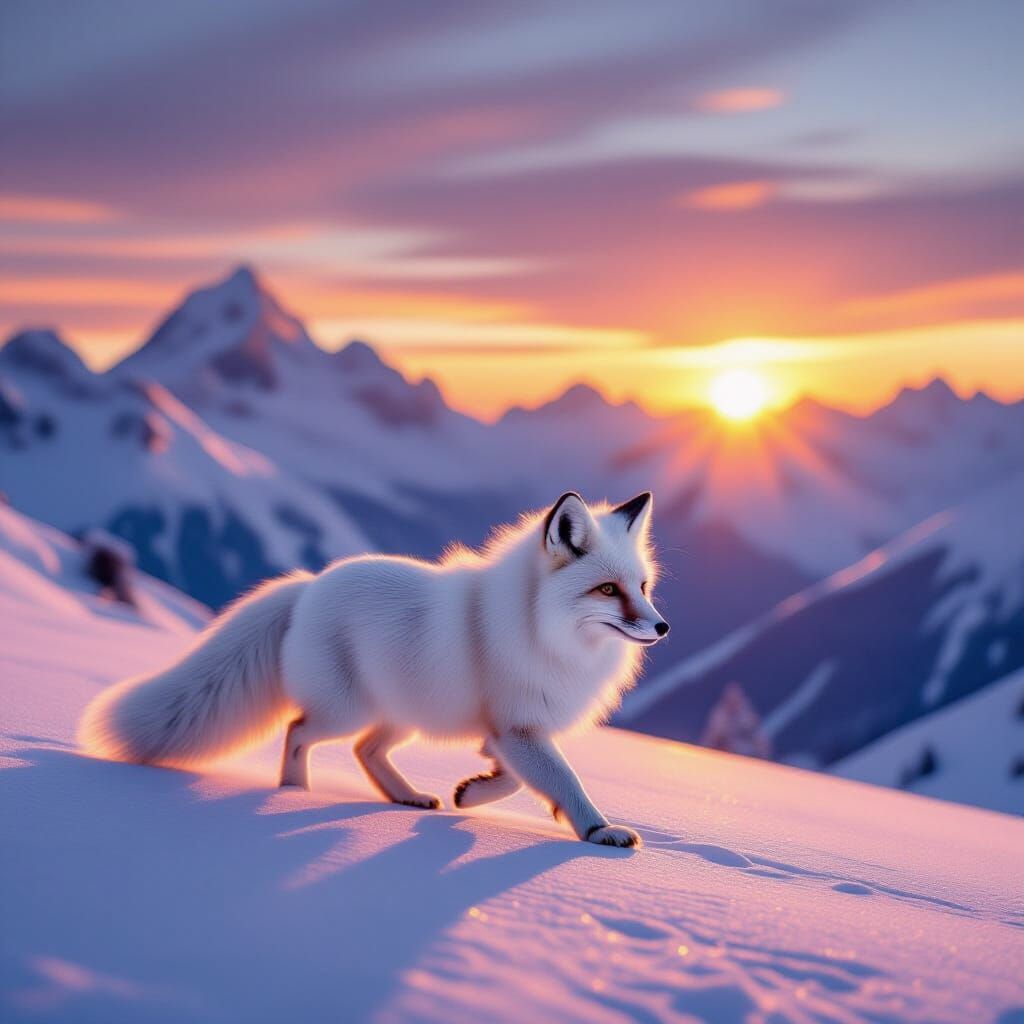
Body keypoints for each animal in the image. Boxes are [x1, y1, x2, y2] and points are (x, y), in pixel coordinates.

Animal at [79, 491, 669, 847]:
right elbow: (564, 780)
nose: (662, 628)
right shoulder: (517, 726)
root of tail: (309, 586)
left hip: (401, 716)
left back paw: (405, 797)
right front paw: (600, 832)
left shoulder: (510, 730)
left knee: (366, 751)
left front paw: (472, 794)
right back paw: (293, 791)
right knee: (298, 731)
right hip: (346, 711)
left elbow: (513, 781)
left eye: (641, 587)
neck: (537, 627)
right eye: (607, 590)